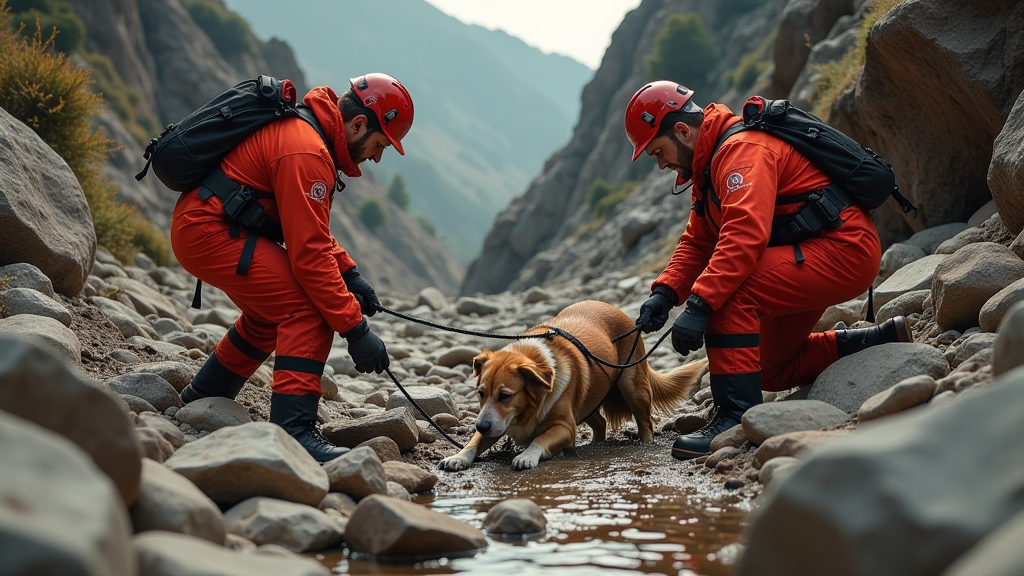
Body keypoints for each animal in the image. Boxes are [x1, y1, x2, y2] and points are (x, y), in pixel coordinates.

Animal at [440, 297, 712, 469]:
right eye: (480, 393)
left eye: (505, 395)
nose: (481, 425)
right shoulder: (495, 423)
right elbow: (474, 442)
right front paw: (458, 456)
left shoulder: (565, 427)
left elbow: (539, 439)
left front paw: (527, 456)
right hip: (587, 401)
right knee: (600, 422)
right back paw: (595, 443)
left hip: (632, 386)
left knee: (645, 422)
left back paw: (644, 443)